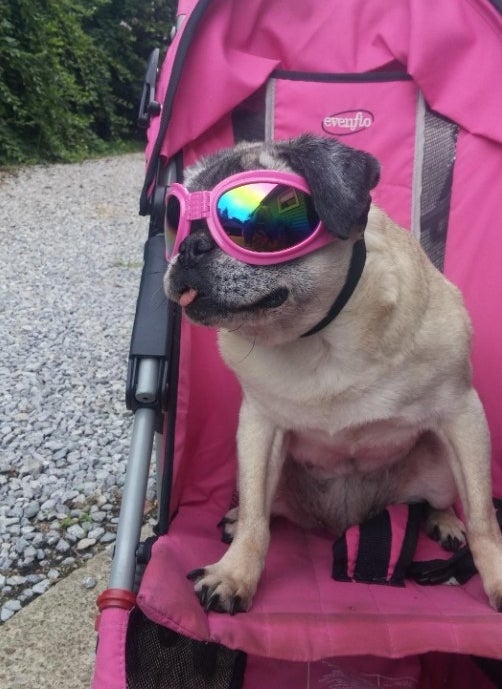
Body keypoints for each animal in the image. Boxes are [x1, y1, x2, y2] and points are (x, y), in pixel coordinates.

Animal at [165, 133, 502, 612]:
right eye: (175, 222)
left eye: (252, 227)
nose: (190, 246)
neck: (320, 336)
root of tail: (347, 522)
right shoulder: (259, 428)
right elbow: (255, 517)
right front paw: (236, 573)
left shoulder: (462, 414)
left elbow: (482, 515)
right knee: (261, 508)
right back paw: (234, 519)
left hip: (440, 465)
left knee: (441, 500)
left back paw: (443, 520)